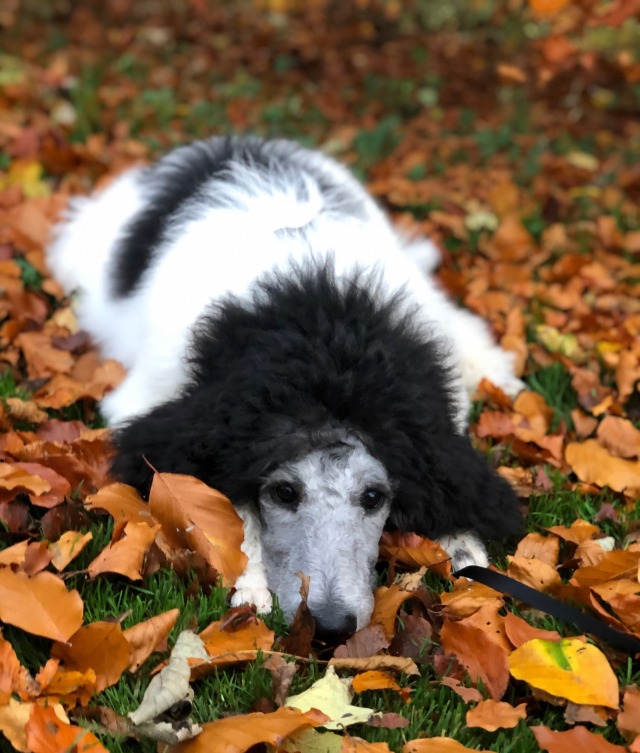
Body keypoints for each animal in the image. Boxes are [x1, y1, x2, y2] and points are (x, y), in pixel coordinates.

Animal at [47, 135, 524, 636]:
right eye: (284, 493)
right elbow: (232, 508)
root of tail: (230, 142)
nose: (331, 627)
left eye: (374, 497)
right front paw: (251, 580)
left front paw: (464, 545)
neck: (324, 326)